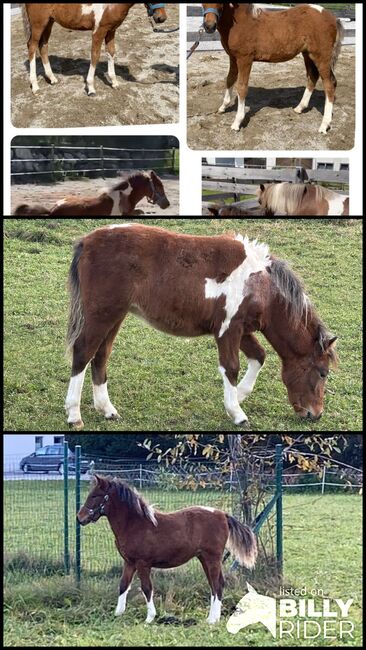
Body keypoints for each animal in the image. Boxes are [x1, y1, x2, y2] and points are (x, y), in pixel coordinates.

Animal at [21, 3, 167, 95]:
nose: (161, 18)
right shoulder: (98, 31)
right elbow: (95, 55)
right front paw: (91, 88)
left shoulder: (111, 30)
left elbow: (111, 52)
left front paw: (114, 82)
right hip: (38, 24)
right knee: (32, 46)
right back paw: (35, 86)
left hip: (49, 22)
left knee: (43, 46)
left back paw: (52, 78)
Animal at [63, 223, 338, 430]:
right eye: (323, 373)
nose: (316, 414)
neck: (260, 285)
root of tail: (87, 241)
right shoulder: (228, 330)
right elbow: (231, 367)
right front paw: (237, 413)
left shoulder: (241, 329)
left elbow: (259, 357)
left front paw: (238, 397)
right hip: (102, 315)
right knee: (83, 352)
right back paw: (74, 415)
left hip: (115, 316)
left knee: (101, 355)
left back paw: (107, 410)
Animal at [77, 470, 258, 624]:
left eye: (95, 495)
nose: (80, 518)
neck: (135, 524)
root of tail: (223, 515)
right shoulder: (129, 562)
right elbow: (123, 586)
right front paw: (117, 614)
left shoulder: (143, 563)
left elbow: (147, 588)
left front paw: (149, 618)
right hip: (204, 558)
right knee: (214, 585)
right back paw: (211, 618)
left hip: (212, 558)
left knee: (218, 584)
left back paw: (213, 620)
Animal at [203, 2, 344, 134]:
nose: (209, 26)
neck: (240, 22)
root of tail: (332, 17)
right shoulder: (233, 58)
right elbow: (229, 79)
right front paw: (223, 107)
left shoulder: (245, 59)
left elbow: (242, 87)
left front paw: (237, 122)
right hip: (307, 54)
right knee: (312, 77)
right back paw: (299, 108)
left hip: (321, 57)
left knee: (329, 85)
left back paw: (324, 125)